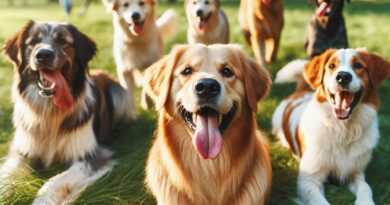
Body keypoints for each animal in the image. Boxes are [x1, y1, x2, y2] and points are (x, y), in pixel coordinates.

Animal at [0, 21, 130, 204]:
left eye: (63, 41)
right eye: (33, 41)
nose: (43, 55)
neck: (49, 112)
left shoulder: (92, 156)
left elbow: (54, 181)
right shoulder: (21, 152)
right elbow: (6, 178)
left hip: (119, 95)